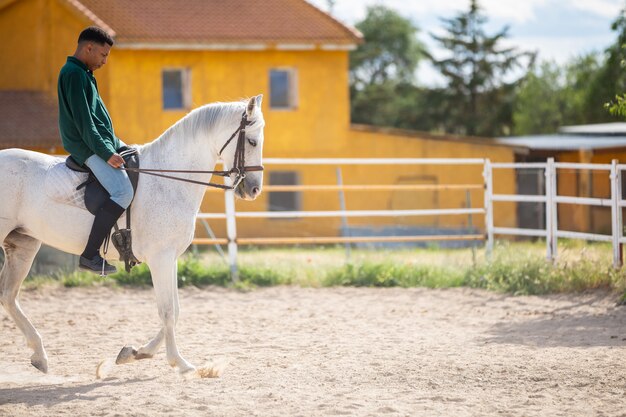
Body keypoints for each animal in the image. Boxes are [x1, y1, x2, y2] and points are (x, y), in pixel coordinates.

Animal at [0, 95, 264, 374]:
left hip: (24, 244)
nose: (254, 190)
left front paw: (137, 352)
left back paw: (39, 355)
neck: (167, 180)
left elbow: (176, 310)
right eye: (252, 141)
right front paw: (179, 363)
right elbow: (167, 311)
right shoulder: (160, 258)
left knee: (8, 295)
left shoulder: (170, 258)